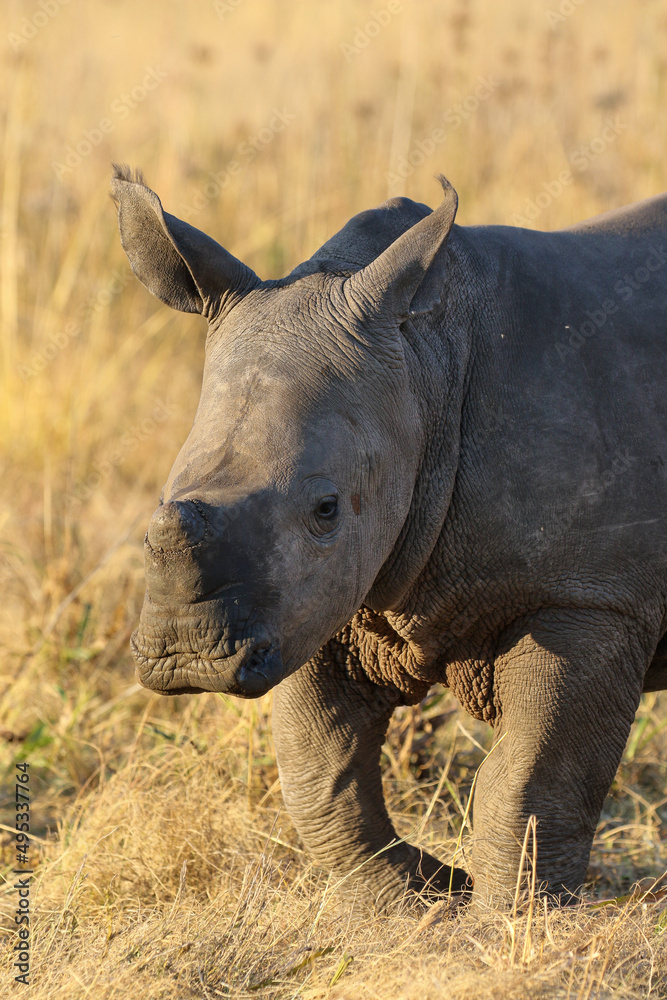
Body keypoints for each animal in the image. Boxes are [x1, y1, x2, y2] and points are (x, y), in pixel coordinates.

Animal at [111, 164, 667, 910]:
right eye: (164, 496)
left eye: (326, 508)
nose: (187, 659)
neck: (426, 371)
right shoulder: (316, 600)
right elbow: (318, 775)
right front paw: (422, 900)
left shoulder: (591, 597)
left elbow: (530, 780)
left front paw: (509, 921)